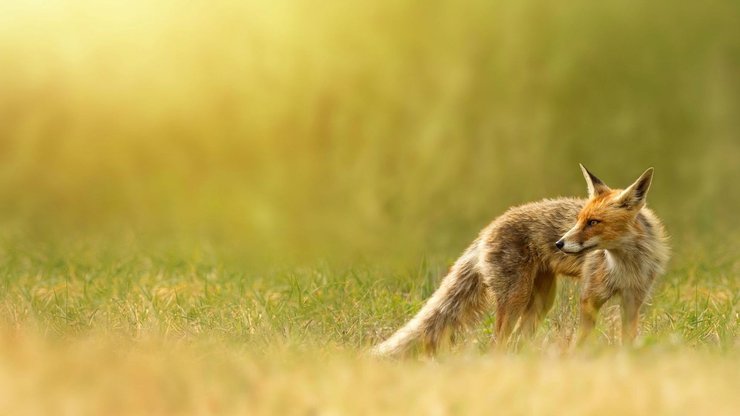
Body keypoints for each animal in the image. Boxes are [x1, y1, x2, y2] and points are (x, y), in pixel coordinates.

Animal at [372, 164, 668, 356]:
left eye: (593, 222)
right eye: (578, 220)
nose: (559, 243)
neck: (626, 266)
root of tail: (487, 229)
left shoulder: (633, 301)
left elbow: (627, 341)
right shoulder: (590, 298)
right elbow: (582, 341)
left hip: (540, 302)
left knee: (516, 341)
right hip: (516, 297)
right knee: (499, 343)